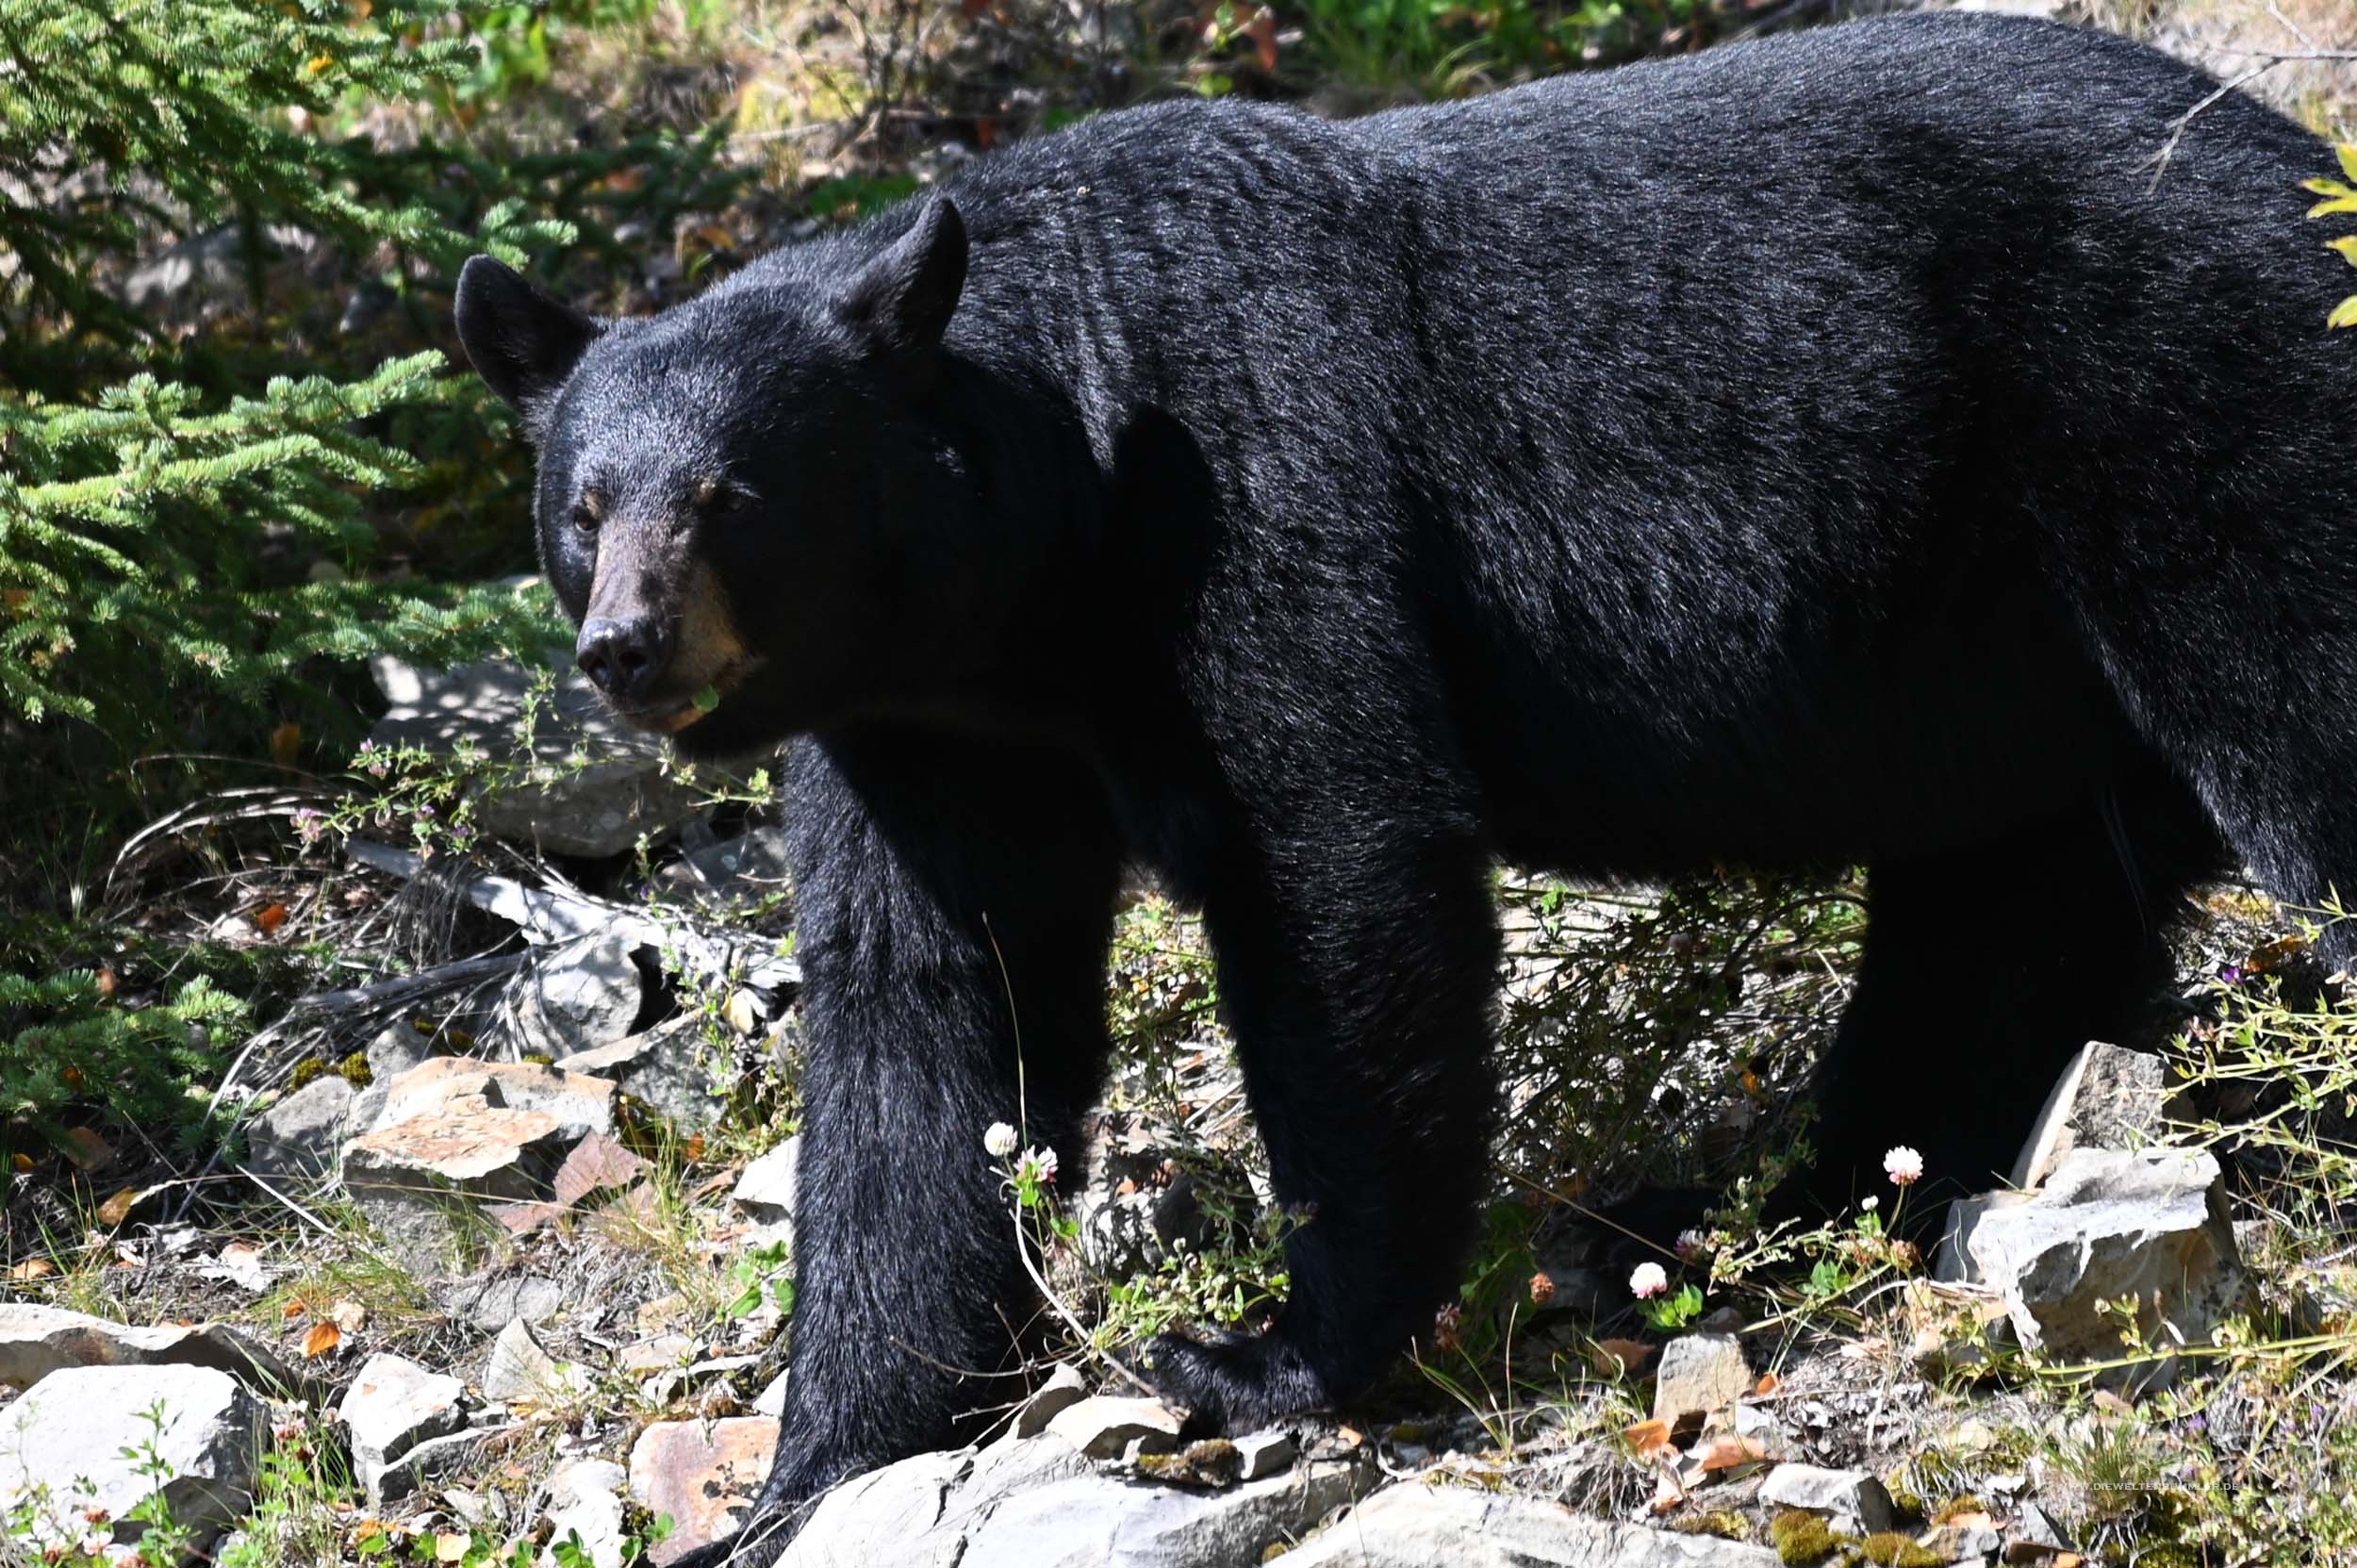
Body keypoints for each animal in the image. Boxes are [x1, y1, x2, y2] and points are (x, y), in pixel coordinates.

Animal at [455, 12, 2355, 1560]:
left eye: (734, 496)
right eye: (583, 504)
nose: (628, 647)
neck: (1039, 556)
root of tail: (2306, 162)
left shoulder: (1254, 516)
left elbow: (1335, 877)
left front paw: (1271, 1353)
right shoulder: (928, 730)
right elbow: (930, 1018)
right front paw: (813, 1467)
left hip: (2194, 419)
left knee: (2286, 735)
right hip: (1985, 636)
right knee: (2003, 905)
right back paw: (1770, 1196)